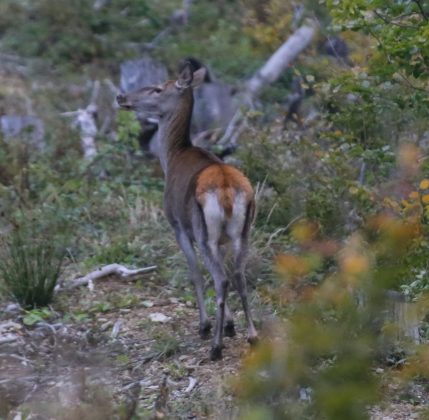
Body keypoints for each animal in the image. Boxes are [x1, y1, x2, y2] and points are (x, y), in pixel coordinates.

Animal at [116, 62, 258, 360]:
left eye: (158, 88)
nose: (121, 96)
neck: (172, 157)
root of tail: (226, 190)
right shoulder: (223, 240)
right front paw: (230, 325)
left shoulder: (177, 226)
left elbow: (194, 273)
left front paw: (206, 326)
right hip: (242, 231)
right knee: (238, 275)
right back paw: (253, 335)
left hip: (204, 232)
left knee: (220, 278)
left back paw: (215, 346)